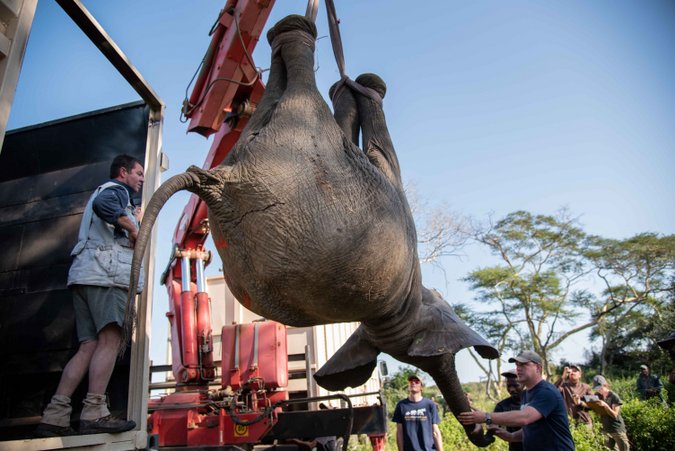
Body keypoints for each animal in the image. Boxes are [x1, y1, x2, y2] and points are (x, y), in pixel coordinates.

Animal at [129, 14, 500, 448]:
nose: (484, 431)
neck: (390, 320)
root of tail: (220, 181)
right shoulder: (383, 187)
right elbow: (381, 152)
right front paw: (363, 85)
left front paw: (350, 84)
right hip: (303, 142)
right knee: (304, 89)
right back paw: (303, 33)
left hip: (274, 144)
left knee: (275, 91)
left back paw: (286, 34)